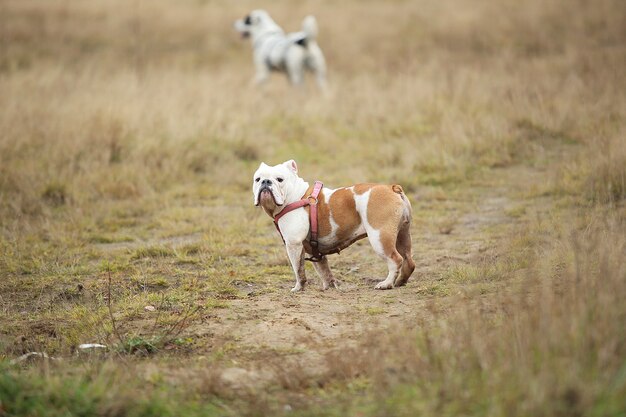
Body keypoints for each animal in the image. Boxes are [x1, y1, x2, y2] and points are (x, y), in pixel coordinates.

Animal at [251, 161, 412, 290]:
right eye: (257, 179)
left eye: (280, 179)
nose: (266, 182)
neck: (295, 197)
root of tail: (392, 188)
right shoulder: (313, 251)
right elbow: (323, 269)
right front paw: (328, 286)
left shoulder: (293, 244)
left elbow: (298, 269)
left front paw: (298, 287)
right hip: (402, 235)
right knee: (408, 260)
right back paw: (400, 281)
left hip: (379, 237)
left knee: (396, 259)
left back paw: (386, 284)